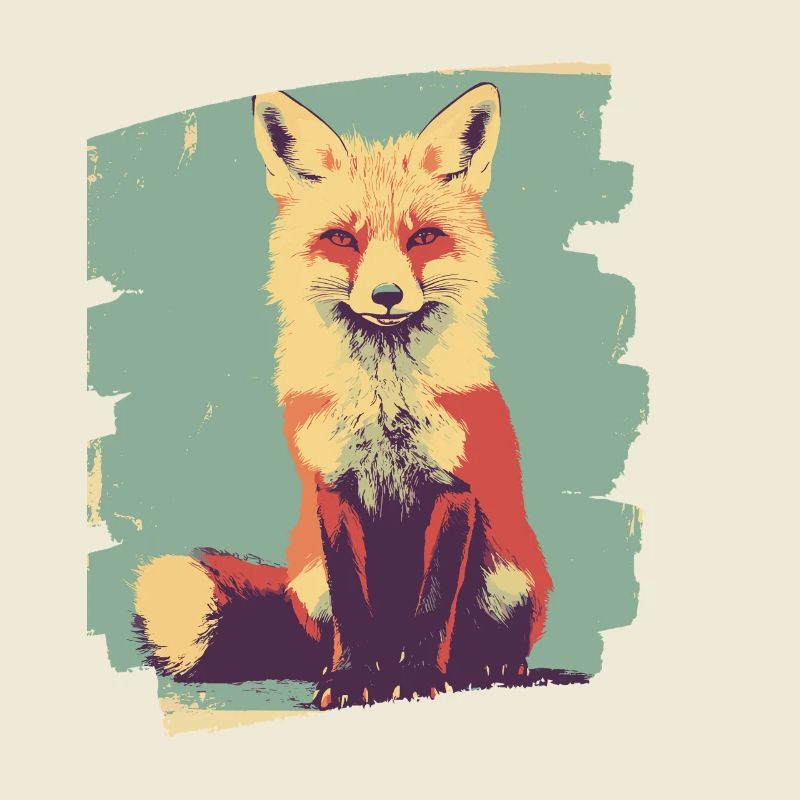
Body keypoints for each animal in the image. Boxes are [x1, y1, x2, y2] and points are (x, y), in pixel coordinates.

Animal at [133, 83, 558, 710]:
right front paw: (350, 680)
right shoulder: (331, 487)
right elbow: (352, 604)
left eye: (422, 238)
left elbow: (434, 606)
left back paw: (488, 666)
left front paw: (421, 679)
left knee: (484, 636)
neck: (384, 405)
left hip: (509, 576)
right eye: (341, 239)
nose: (386, 295)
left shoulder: (455, 488)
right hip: (309, 582)